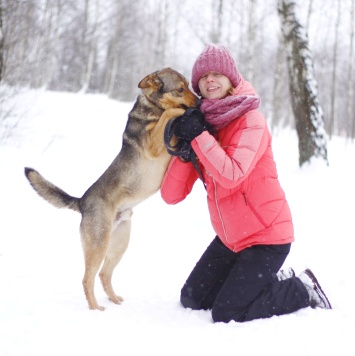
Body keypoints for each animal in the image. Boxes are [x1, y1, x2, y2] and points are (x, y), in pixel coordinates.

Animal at [24, 68, 200, 310]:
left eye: (189, 86)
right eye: (180, 89)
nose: (199, 103)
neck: (152, 106)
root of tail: (82, 202)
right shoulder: (154, 144)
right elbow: (169, 114)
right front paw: (179, 113)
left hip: (120, 243)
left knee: (104, 275)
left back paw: (115, 300)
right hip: (99, 244)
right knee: (87, 278)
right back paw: (95, 308)